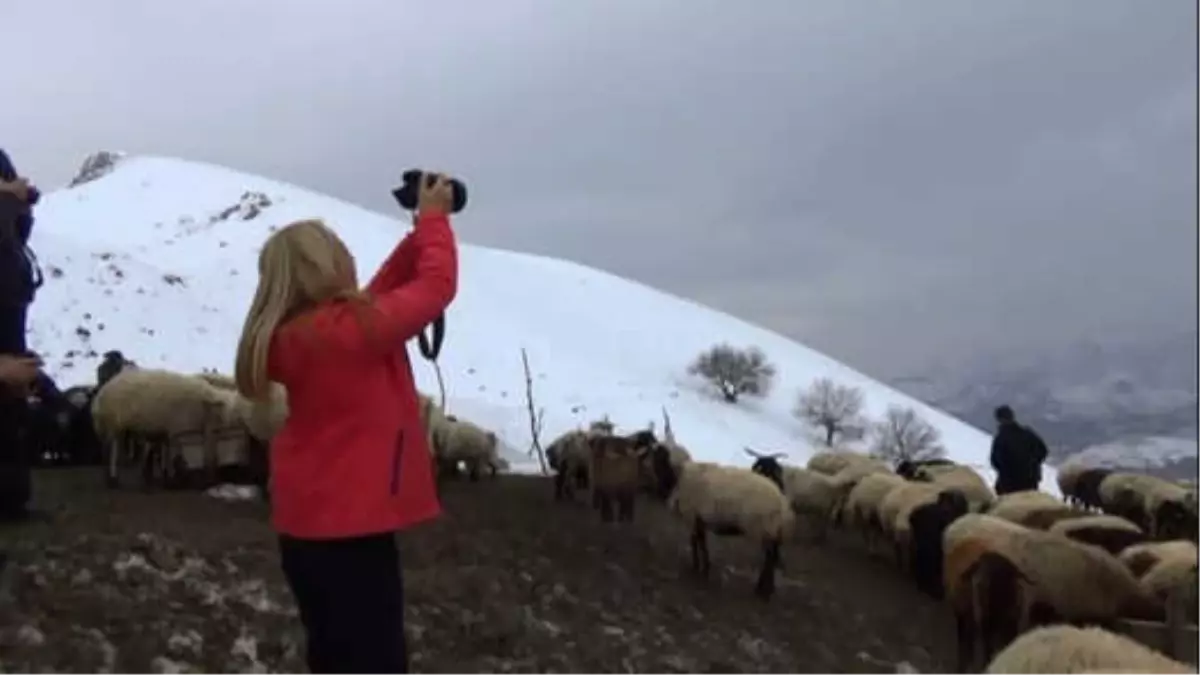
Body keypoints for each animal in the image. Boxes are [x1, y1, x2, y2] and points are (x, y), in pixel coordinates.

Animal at [648, 446, 796, 598]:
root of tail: (782, 503)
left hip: (761, 528)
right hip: (770, 530)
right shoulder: (699, 519)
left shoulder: (692, 515)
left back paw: (761, 589)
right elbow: (700, 541)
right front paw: (704, 566)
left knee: (768, 558)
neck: (678, 478)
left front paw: (697, 565)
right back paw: (767, 589)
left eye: (658, 455)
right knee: (771, 558)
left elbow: (695, 541)